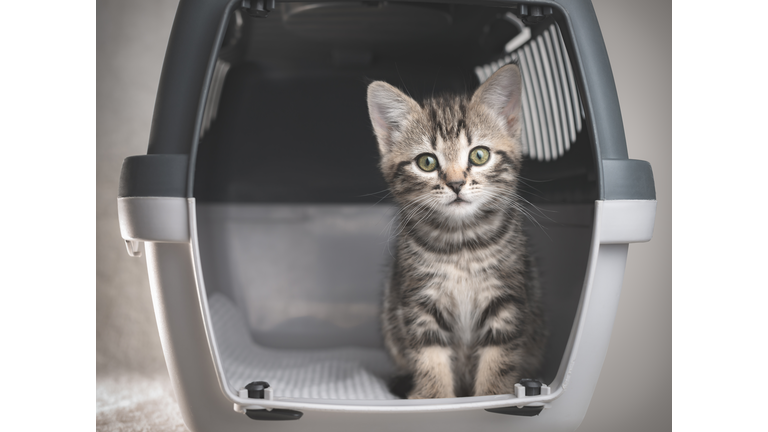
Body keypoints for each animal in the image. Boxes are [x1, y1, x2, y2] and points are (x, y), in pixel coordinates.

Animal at [368, 64, 544, 398]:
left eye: (479, 155)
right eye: (426, 162)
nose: (456, 183)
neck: (461, 243)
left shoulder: (507, 299)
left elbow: (498, 358)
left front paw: (492, 395)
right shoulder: (419, 301)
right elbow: (429, 357)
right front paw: (432, 397)